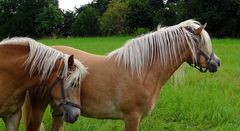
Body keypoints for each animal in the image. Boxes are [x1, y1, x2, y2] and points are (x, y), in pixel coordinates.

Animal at [23, 19, 219, 131]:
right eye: (203, 42)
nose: (216, 63)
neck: (142, 70)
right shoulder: (132, 117)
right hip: (39, 108)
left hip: (59, 110)